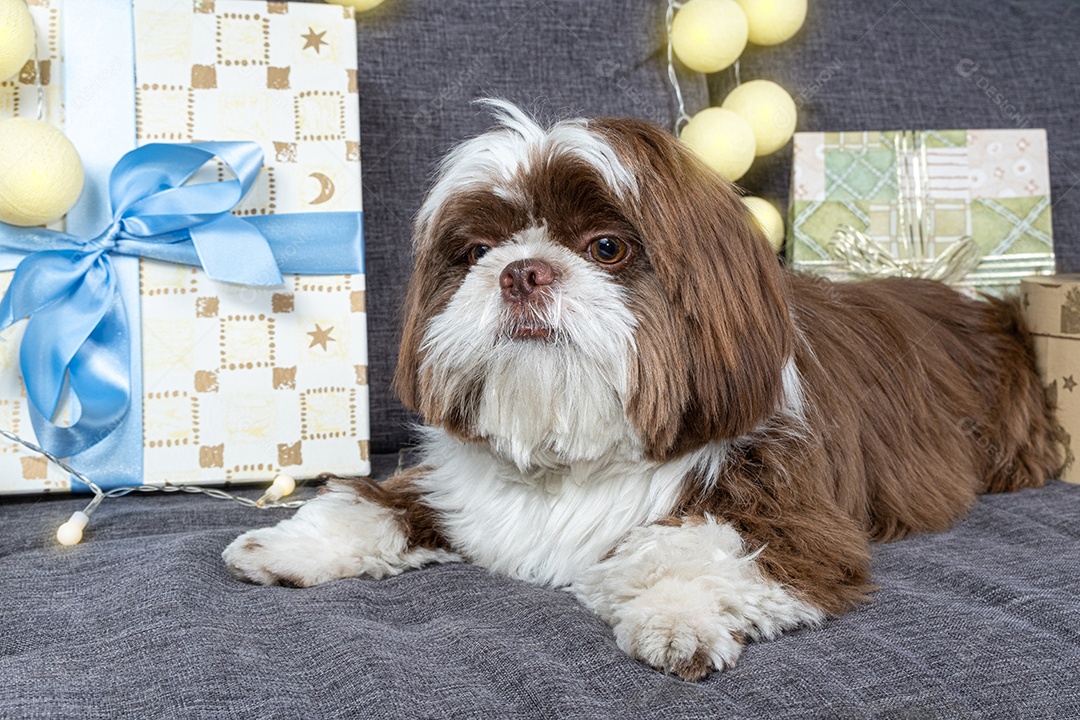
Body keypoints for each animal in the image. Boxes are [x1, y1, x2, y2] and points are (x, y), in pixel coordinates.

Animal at [223, 99, 1058, 682]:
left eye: (607, 247)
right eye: (478, 250)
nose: (522, 271)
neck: (577, 455)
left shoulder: (793, 521)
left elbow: (696, 551)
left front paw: (676, 618)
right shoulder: (457, 487)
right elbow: (376, 501)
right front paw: (292, 542)